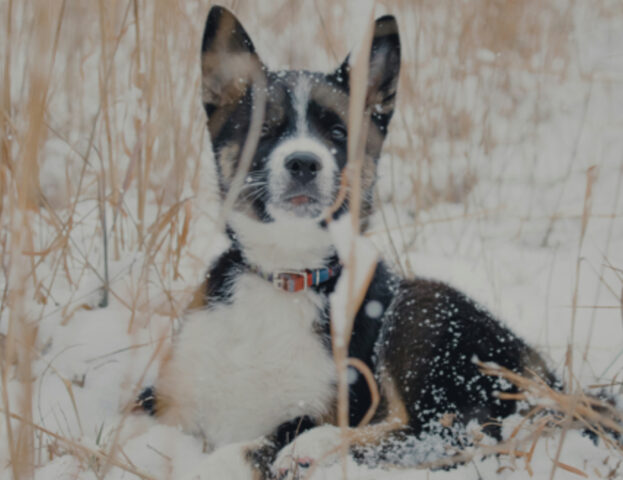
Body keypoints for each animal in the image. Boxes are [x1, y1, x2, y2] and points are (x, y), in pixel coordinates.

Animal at [139, 5, 560, 478]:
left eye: (338, 134)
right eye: (265, 129)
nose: (304, 162)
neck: (287, 275)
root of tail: (555, 379)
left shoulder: (325, 403)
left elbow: (247, 449)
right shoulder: (167, 401)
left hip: (421, 308)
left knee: (448, 432)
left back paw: (314, 447)